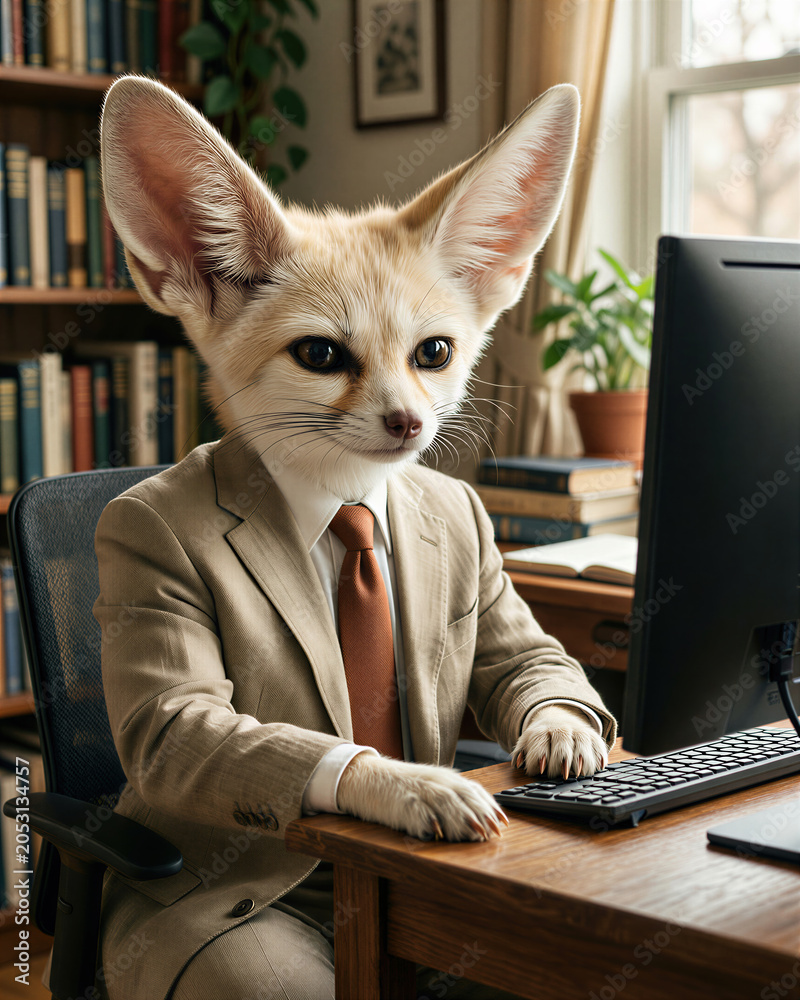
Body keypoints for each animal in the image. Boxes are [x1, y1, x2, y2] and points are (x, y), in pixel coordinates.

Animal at [95, 74, 616, 998]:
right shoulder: (172, 676)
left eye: (433, 353)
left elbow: (541, 665)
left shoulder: (507, 612)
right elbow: (233, 736)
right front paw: (410, 785)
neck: (344, 508)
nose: (409, 422)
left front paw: (561, 732)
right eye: (321, 355)